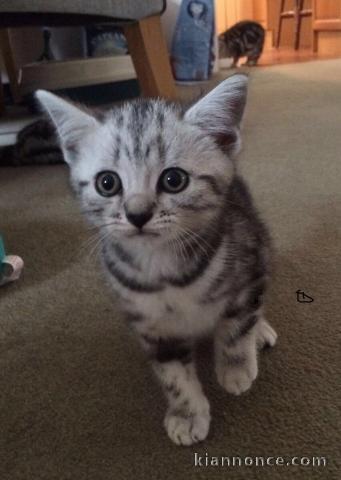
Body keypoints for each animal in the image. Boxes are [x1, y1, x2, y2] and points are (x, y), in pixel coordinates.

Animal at [36, 75, 276, 446]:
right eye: (107, 183)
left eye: (173, 180)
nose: (137, 215)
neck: (164, 270)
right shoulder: (151, 325)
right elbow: (173, 374)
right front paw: (187, 414)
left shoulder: (248, 262)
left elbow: (238, 323)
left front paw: (235, 367)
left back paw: (260, 330)